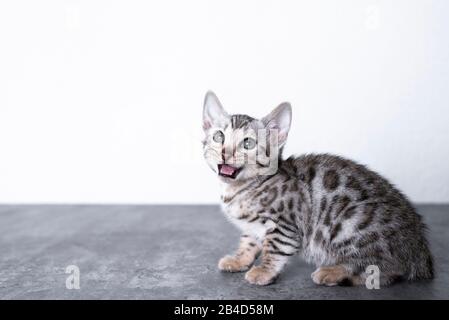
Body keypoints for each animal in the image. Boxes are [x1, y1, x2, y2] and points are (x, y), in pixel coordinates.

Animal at [201, 90, 432, 288]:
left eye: (248, 143)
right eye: (219, 137)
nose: (225, 153)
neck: (241, 189)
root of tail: (420, 251)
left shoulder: (285, 224)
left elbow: (274, 248)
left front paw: (264, 271)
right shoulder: (253, 227)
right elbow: (249, 241)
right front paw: (239, 259)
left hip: (350, 222)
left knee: (386, 269)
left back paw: (334, 272)